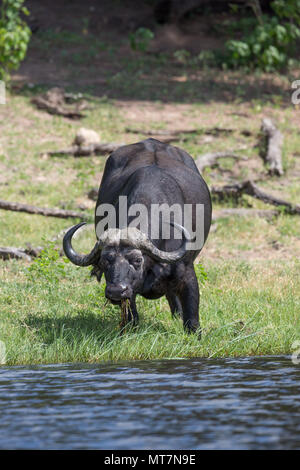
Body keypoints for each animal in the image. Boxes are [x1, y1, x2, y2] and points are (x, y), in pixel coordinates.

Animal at [63, 138, 212, 332]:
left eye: (137, 260)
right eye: (104, 261)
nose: (116, 291)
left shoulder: (188, 274)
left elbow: (192, 319)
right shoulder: (129, 292)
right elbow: (131, 317)